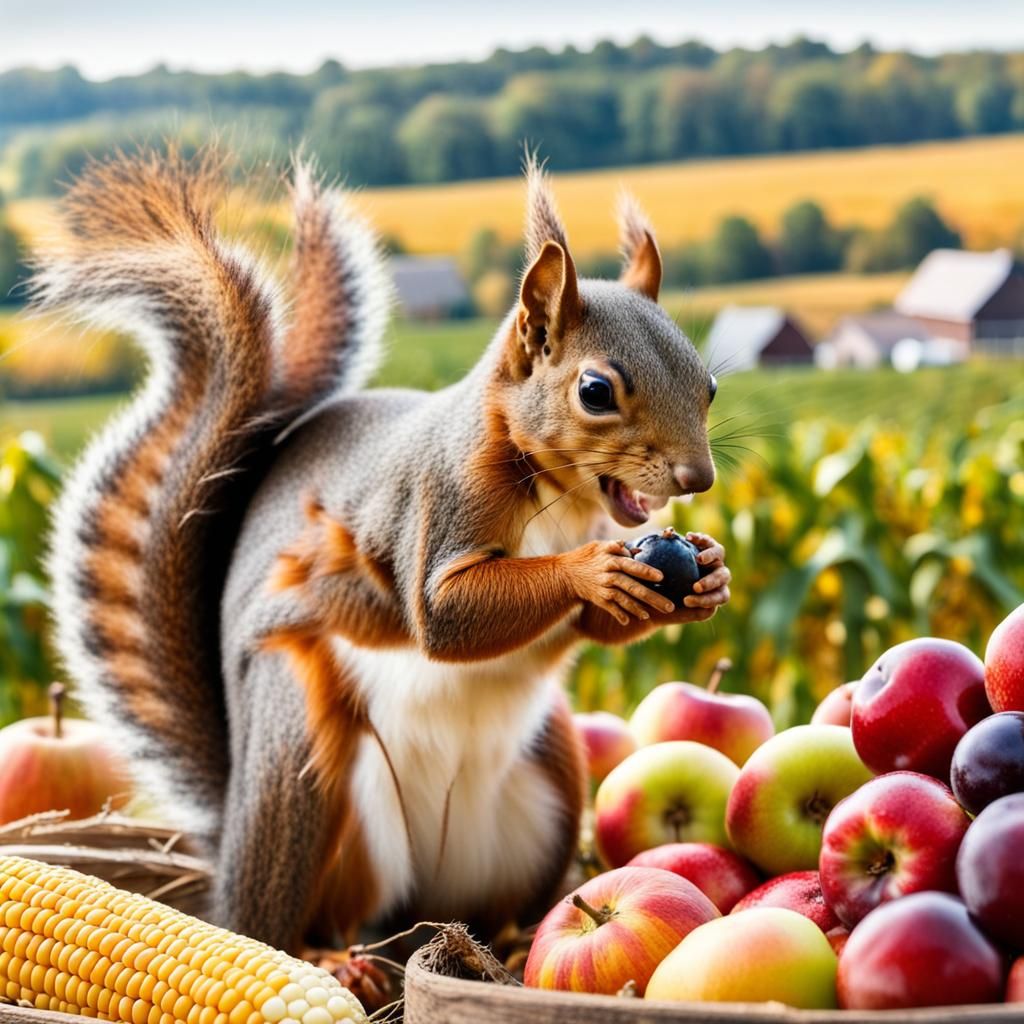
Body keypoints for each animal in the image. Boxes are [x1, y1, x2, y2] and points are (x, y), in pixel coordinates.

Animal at [36, 147, 731, 952]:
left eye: (709, 384)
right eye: (595, 391)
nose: (698, 478)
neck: (563, 502)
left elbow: (593, 625)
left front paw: (703, 579)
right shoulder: (439, 500)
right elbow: (444, 615)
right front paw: (588, 573)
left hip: (552, 777)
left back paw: (506, 938)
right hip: (302, 766)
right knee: (292, 919)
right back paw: (338, 958)